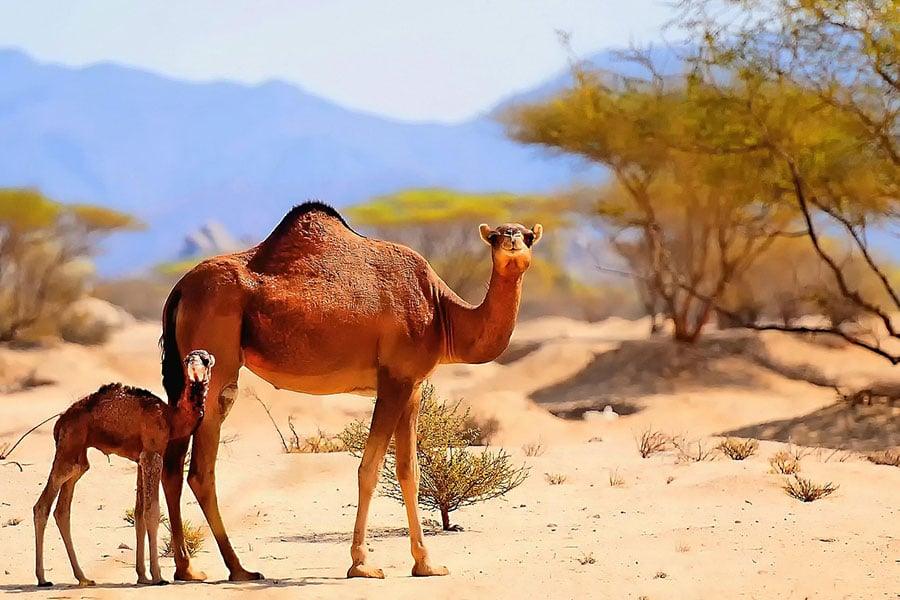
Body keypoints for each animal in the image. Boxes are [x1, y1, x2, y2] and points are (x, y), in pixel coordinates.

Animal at [33, 350, 215, 587]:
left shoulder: (140, 460)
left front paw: (143, 576)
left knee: (62, 510)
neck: (171, 417)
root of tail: (61, 421)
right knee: (42, 507)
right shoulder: (153, 454)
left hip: (78, 456)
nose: (194, 367)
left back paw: (83, 577)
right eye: (188, 360)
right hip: (68, 449)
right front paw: (158, 576)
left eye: (205, 360)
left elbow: (139, 514)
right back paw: (43, 578)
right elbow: (152, 512)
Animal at [160, 201, 542, 581]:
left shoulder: (413, 388)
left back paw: (187, 568)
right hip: (217, 365)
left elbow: (410, 471)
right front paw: (362, 564)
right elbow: (369, 469)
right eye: (494, 236)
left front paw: (426, 564)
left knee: (172, 464)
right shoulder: (394, 381)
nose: (511, 240)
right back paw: (237, 568)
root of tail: (179, 290)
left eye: (528, 236)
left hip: (186, 376)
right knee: (200, 470)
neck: (441, 311)